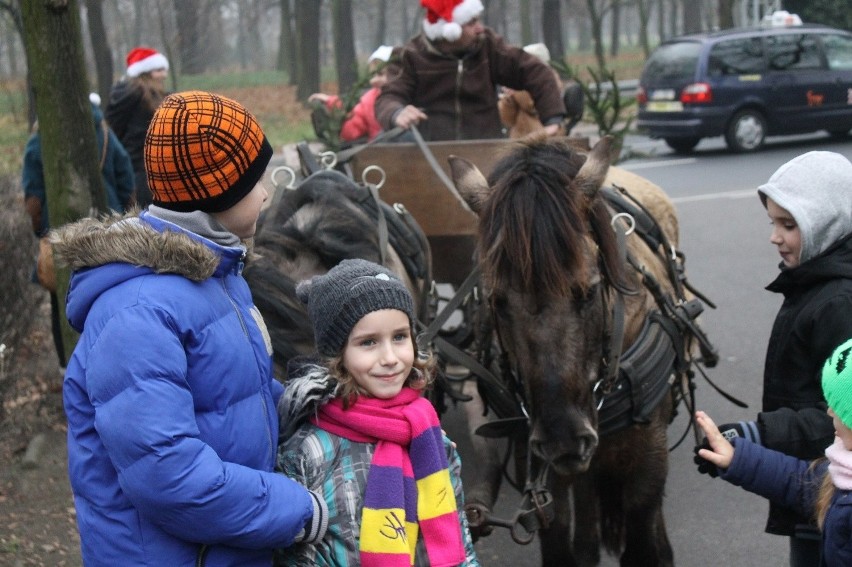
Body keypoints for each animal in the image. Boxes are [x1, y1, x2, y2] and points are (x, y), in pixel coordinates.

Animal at [450, 138, 704, 567]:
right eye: (497, 301)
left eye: (588, 290)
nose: (563, 438)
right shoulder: (539, 464)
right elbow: (558, 539)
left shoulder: (647, 457)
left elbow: (644, 538)